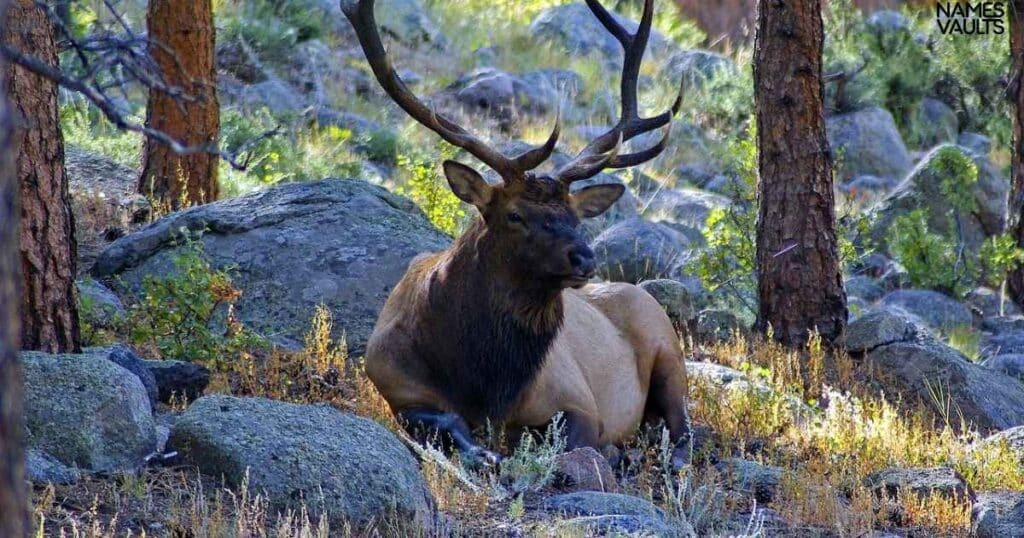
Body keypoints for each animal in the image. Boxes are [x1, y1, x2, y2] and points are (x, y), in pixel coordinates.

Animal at [342, 0, 688, 463]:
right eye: (515, 215)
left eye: (576, 216)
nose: (585, 257)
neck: (485, 386)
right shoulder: (395, 385)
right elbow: (446, 421)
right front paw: (485, 452)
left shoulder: (577, 399)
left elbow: (568, 444)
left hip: (669, 349)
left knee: (684, 431)